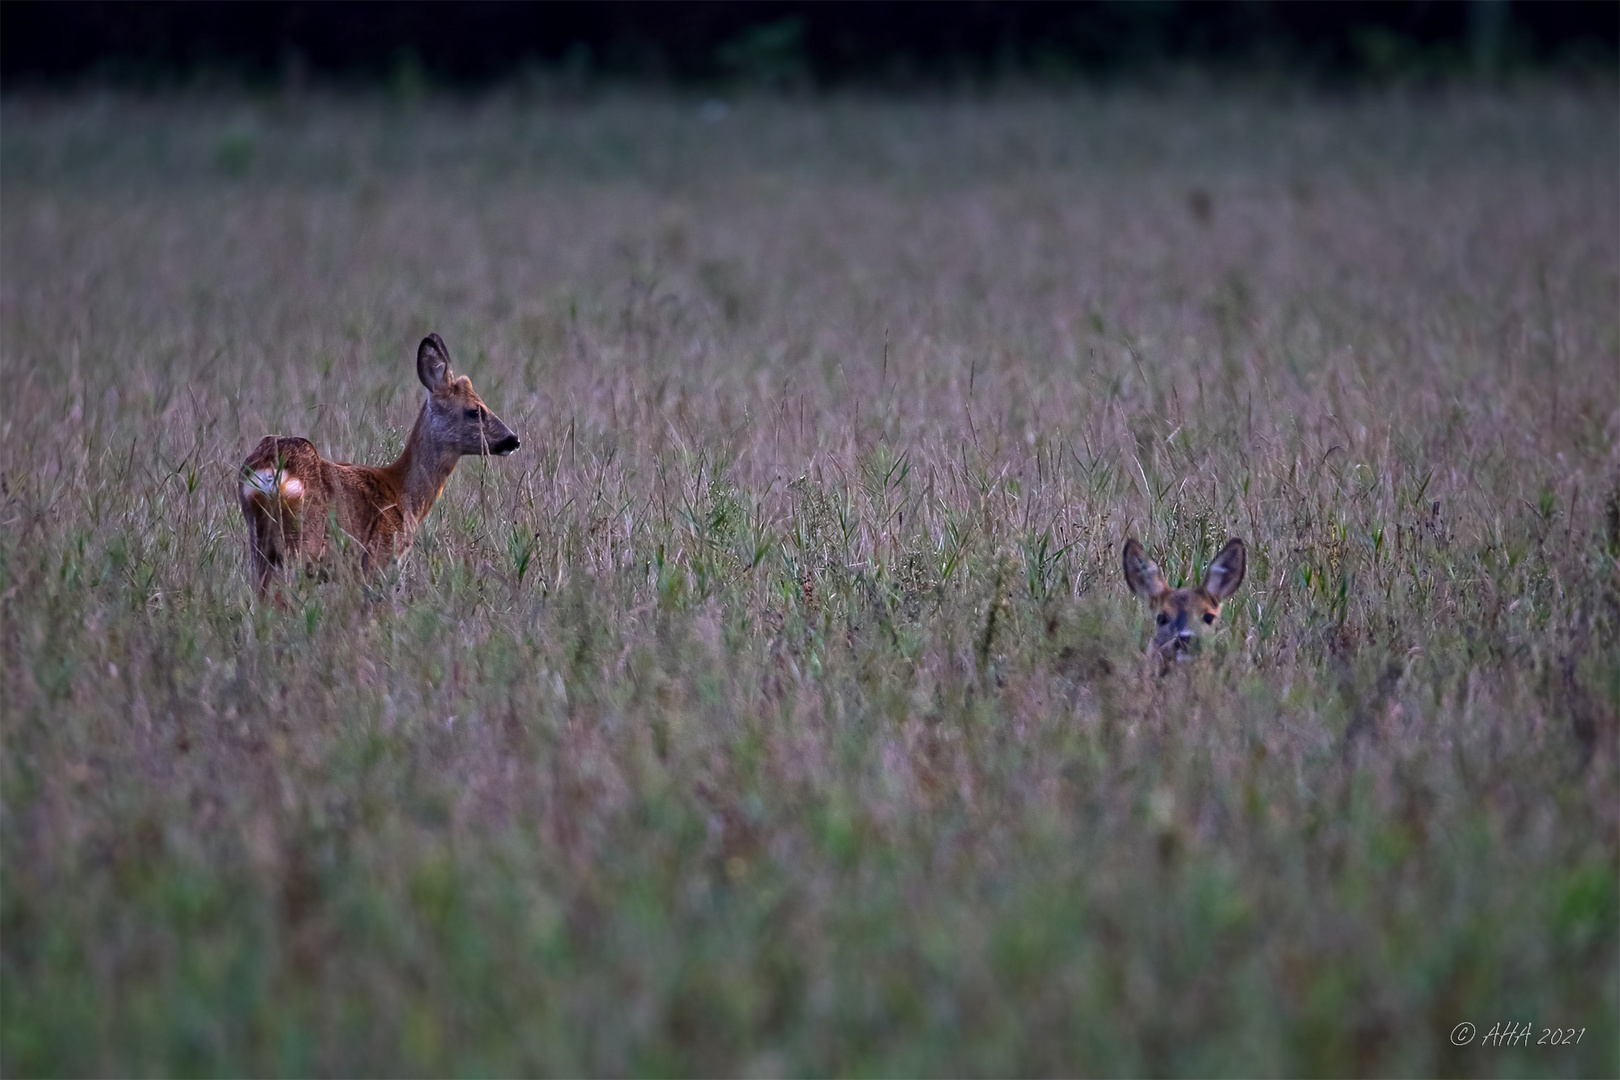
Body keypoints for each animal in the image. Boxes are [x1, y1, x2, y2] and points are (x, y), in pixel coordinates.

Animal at [236, 333, 518, 595]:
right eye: (475, 410)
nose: (512, 439)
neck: (403, 492)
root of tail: (269, 471)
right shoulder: (379, 558)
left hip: (260, 544)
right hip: (303, 540)